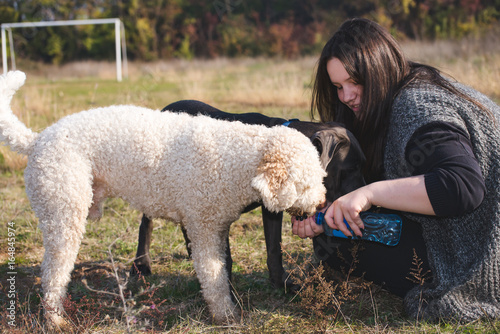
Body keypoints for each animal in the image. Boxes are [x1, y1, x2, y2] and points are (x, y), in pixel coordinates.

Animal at [0, 71, 326, 328]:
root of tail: (36, 139)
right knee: (53, 274)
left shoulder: (216, 225)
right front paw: (225, 315)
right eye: (305, 184)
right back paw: (55, 319)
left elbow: (225, 268)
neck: (237, 157)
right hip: (63, 215)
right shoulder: (202, 228)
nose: (322, 203)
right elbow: (214, 275)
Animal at [131, 100, 366, 290]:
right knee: (146, 224)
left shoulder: (271, 210)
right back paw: (141, 264)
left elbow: (274, 248)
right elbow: (225, 259)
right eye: (351, 168)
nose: (365, 203)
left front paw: (280, 283)